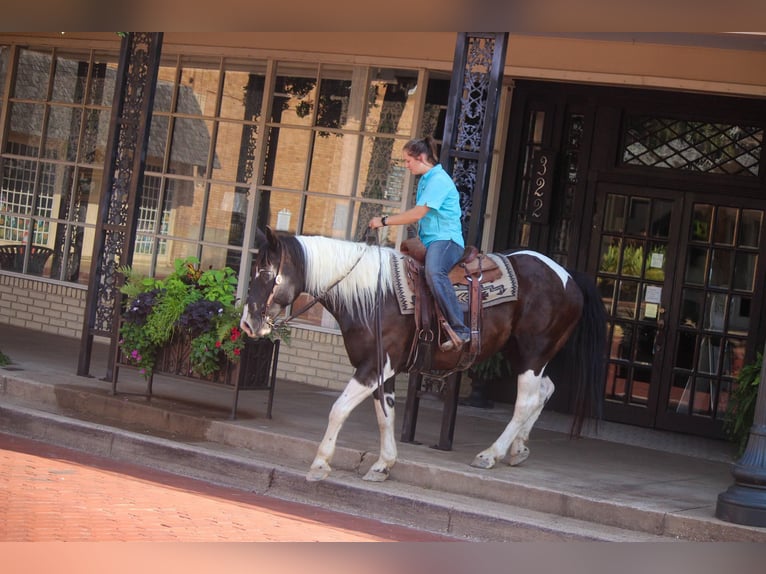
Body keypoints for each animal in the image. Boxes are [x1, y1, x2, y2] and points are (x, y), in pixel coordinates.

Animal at [240, 227, 608, 484]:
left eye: (265, 272)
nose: (247, 323)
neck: (371, 295)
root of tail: (569, 276)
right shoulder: (383, 371)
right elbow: (384, 415)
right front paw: (383, 464)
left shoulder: (372, 367)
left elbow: (338, 410)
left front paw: (319, 464)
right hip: (525, 353)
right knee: (545, 391)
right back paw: (518, 448)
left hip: (533, 352)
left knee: (525, 401)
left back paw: (491, 454)